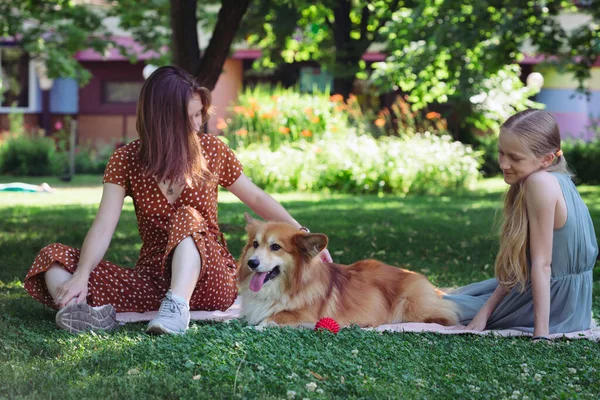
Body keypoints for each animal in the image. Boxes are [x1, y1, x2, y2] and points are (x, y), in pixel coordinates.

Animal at [237, 216, 458, 328]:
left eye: (275, 247)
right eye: (255, 244)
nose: (252, 263)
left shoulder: (306, 317)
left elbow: (272, 317)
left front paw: (256, 326)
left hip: (414, 307)